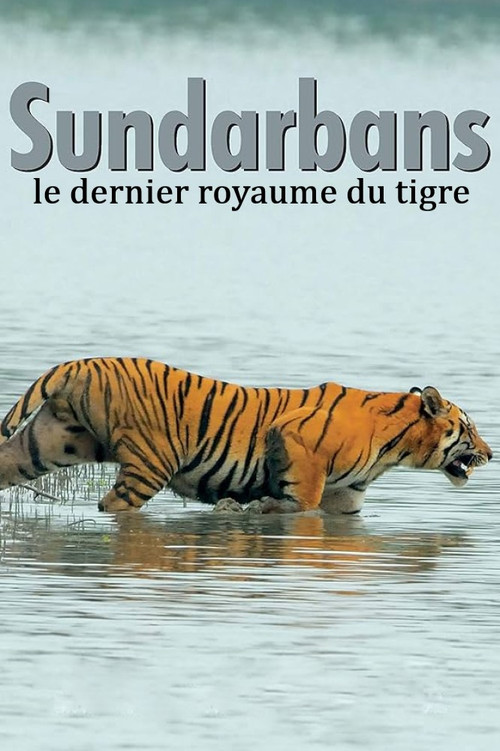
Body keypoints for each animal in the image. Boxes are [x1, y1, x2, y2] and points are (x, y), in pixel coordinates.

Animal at [0, 357, 493, 514]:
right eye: (469, 429)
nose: (490, 453)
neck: (394, 448)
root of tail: (81, 363)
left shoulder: (347, 500)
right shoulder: (296, 440)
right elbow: (302, 504)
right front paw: (256, 508)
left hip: (46, 444)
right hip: (150, 464)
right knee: (113, 505)